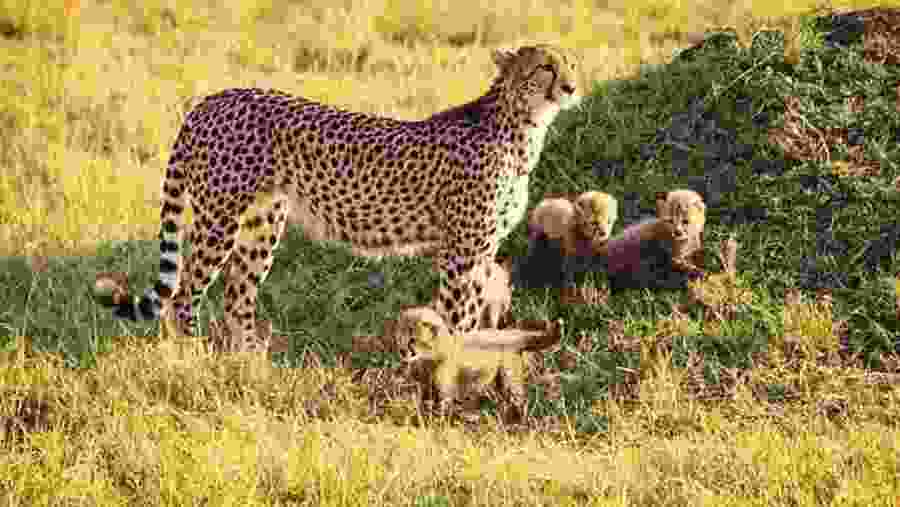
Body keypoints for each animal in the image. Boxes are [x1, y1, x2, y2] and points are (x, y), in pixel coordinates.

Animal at [95, 44, 583, 348]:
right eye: (545, 67)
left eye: (571, 64)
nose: (572, 87)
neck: (521, 126)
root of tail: (211, 99)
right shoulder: (461, 250)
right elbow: (456, 314)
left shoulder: (481, 249)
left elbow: (465, 311)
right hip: (219, 221)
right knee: (183, 296)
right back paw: (194, 357)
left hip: (262, 224)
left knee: (237, 295)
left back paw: (248, 361)